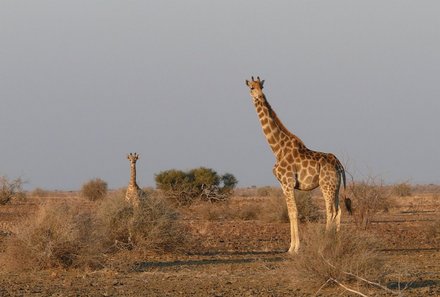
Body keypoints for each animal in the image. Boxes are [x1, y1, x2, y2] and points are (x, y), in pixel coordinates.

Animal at [244, 75, 348, 252]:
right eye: (252, 87)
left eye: (261, 87)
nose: (260, 96)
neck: (277, 148)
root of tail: (339, 165)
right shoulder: (283, 184)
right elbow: (290, 212)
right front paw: (291, 247)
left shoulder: (288, 182)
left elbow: (293, 212)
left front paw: (295, 248)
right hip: (335, 186)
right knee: (339, 210)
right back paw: (337, 242)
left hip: (327, 185)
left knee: (331, 211)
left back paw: (325, 243)